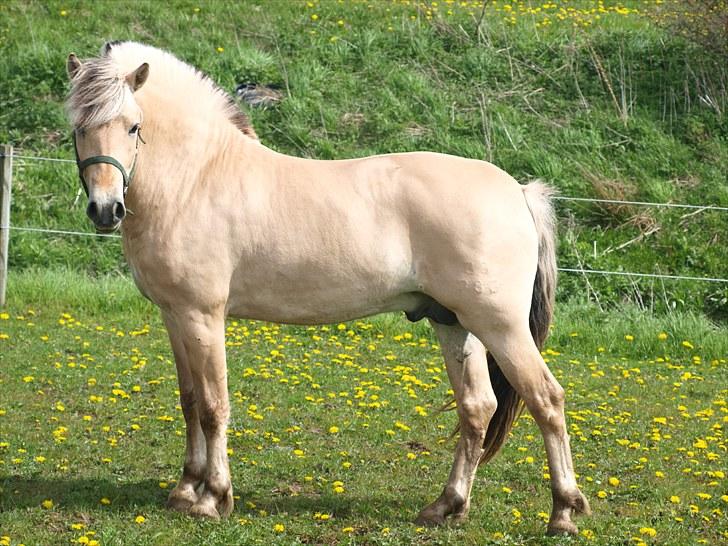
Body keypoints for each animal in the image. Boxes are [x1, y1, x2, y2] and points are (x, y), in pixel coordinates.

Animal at [67, 41, 592, 532]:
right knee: (477, 407)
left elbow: (215, 405)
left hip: (501, 327)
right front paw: (184, 490)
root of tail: (518, 192)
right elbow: (190, 401)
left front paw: (213, 497)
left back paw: (563, 512)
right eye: (78, 127)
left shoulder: (203, 315)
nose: (106, 209)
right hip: (453, 324)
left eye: (133, 126)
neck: (197, 177)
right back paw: (446, 506)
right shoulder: (174, 315)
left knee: (547, 400)